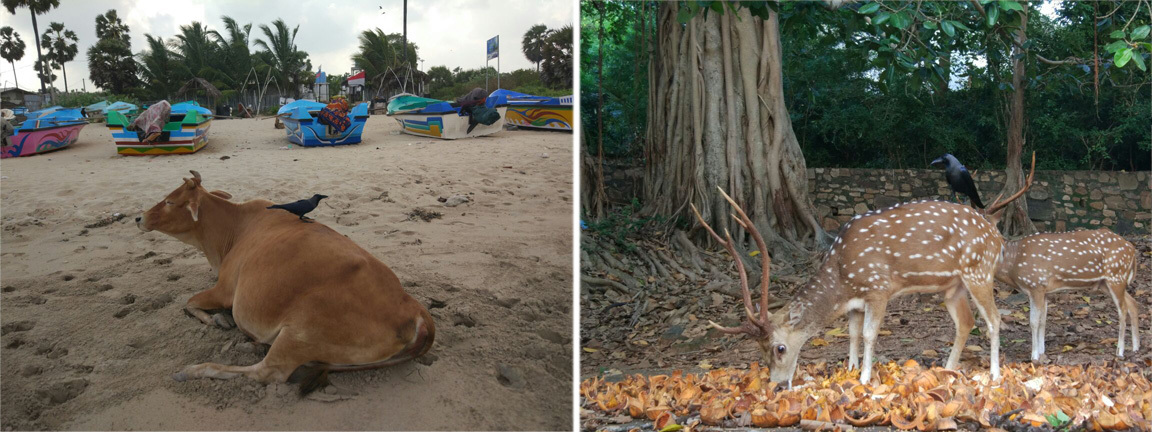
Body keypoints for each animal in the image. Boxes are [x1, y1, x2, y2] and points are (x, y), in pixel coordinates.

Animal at [137, 170, 433, 391]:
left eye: (169, 201)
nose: (139, 217)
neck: (233, 227)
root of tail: (414, 308)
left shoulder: (225, 290)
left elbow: (190, 302)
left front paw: (216, 319)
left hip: (299, 334)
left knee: (268, 373)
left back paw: (195, 370)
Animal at [691, 154, 1036, 387]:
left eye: (780, 347)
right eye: (759, 350)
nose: (777, 384)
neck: (843, 277)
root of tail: (997, 235)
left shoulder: (878, 287)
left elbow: (870, 334)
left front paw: (865, 378)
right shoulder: (855, 302)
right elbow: (853, 332)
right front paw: (850, 368)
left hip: (979, 271)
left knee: (995, 319)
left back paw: (993, 374)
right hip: (952, 286)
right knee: (966, 322)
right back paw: (946, 369)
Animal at [995, 230, 1138, 361]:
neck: (1013, 262)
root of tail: (1131, 248)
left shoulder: (1036, 285)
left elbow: (1034, 322)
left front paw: (1034, 356)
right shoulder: (1044, 291)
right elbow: (1043, 321)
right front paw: (1041, 351)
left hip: (1116, 275)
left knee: (1123, 309)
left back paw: (1120, 351)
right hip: (1106, 283)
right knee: (1133, 303)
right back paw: (1136, 347)